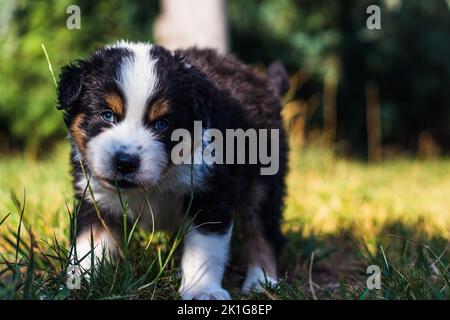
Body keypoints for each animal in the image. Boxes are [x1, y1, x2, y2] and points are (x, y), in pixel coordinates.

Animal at [58, 40, 288, 300]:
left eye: (161, 124)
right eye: (107, 115)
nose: (125, 162)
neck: (159, 181)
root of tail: (264, 84)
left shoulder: (211, 193)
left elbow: (205, 250)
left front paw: (202, 290)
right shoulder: (95, 195)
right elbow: (90, 242)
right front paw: (81, 282)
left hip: (264, 183)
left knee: (263, 233)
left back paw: (261, 282)